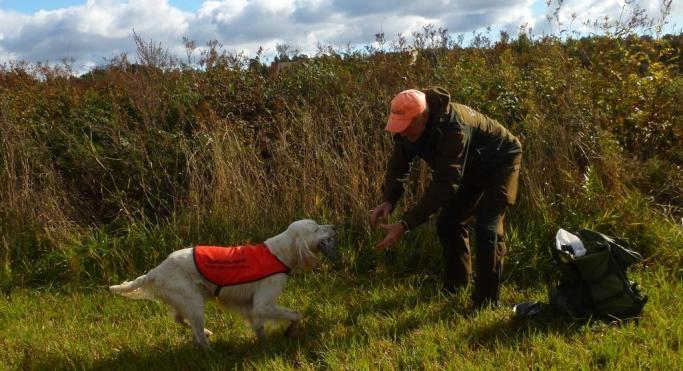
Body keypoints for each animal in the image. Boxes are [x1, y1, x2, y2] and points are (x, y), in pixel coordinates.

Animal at [109, 219, 340, 348]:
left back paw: (207, 332)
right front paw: (290, 331)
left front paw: (264, 344)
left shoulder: (251, 305)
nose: (334, 226)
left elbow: (259, 326)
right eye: (316, 228)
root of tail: (157, 270)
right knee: (198, 337)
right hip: (194, 302)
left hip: (188, 300)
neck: (279, 253)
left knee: (181, 320)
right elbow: (295, 315)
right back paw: (210, 350)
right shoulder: (263, 304)